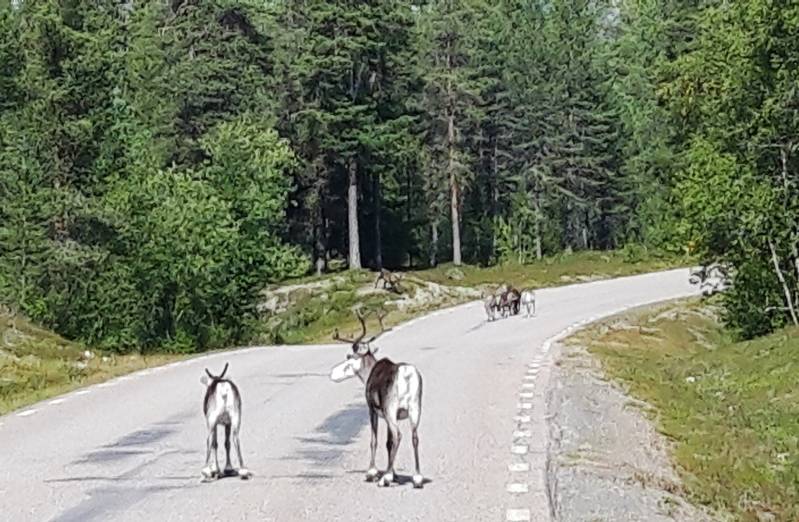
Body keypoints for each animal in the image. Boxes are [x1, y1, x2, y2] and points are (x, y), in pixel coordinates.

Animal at [329, 310, 425, 489]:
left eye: (349, 357)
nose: (333, 373)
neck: (368, 373)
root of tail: (406, 375)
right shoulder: (390, 415)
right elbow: (388, 442)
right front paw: (393, 473)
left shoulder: (372, 409)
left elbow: (375, 440)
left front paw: (373, 472)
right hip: (415, 407)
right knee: (414, 436)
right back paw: (417, 478)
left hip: (391, 407)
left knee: (398, 435)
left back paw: (384, 478)